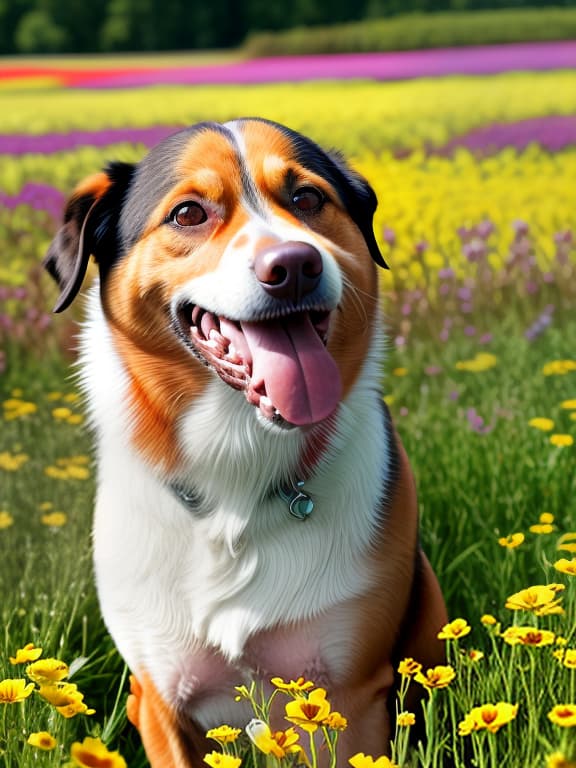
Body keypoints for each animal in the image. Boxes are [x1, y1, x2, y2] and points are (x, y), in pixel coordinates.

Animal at [46, 117, 450, 764]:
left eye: (307, 199)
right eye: (188, 213)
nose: (295, 266)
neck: (237, 462)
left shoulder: (352, 693)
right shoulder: (160, 696)